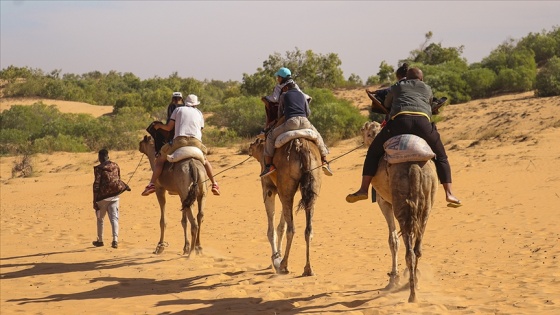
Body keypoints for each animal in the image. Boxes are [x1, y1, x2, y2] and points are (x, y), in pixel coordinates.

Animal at [250, 137, 324, 278]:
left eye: (254, 143)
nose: (249, 147)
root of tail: (302, 148)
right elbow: (281, 226)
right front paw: (277, 257)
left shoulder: (268, 188)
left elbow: (272, 229)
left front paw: (275, 259)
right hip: (314, 182)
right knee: (308, 228)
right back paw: (308, 269)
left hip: (286, 185)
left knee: (291, 229)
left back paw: (284, 265)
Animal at [358, 121, 438, 304]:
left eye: (367, 133)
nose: (364, 137)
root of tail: (414, 166)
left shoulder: (384, 202)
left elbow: (393, 240)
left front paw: (393, 279)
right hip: (427, 200)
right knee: (417, 246)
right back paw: (413, 282)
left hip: (400, 201)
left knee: (409, 249)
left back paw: (412, 294)